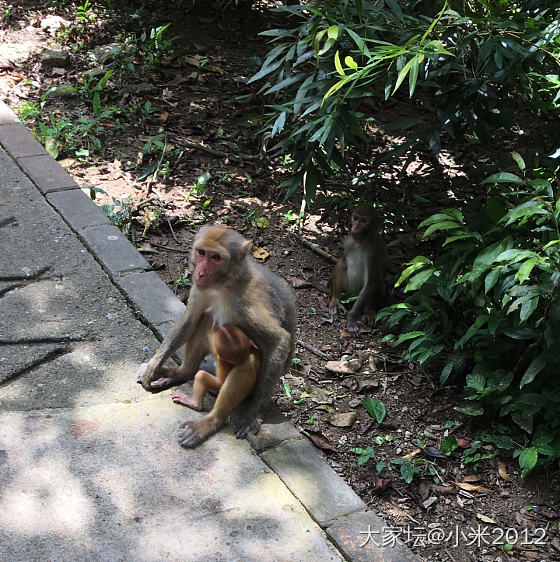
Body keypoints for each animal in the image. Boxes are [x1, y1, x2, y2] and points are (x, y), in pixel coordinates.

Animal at [137, 223, 298, 446]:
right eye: (202, 252)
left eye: (216, 257)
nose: (201, 273)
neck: (224, 283)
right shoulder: (201, 288)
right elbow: (190, 319)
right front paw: (153, 370)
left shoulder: (243, 302)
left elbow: (279, 340)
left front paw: (253, 415)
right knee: (205, 319)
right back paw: (180, 373)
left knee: (247, 362)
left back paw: (209, 421)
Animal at [330, 203, 388, 334]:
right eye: (355, 218)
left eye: (364, 220)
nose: (355, 227)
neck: (362, 241)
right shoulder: (348, 241)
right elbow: (343, 261)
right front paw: (334, 300)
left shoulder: (374, 251)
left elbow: (370, 283)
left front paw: (351, 319)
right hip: (348, 289)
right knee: (342, 263)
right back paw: (336, 300)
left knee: (379, 281)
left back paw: (368, 309)